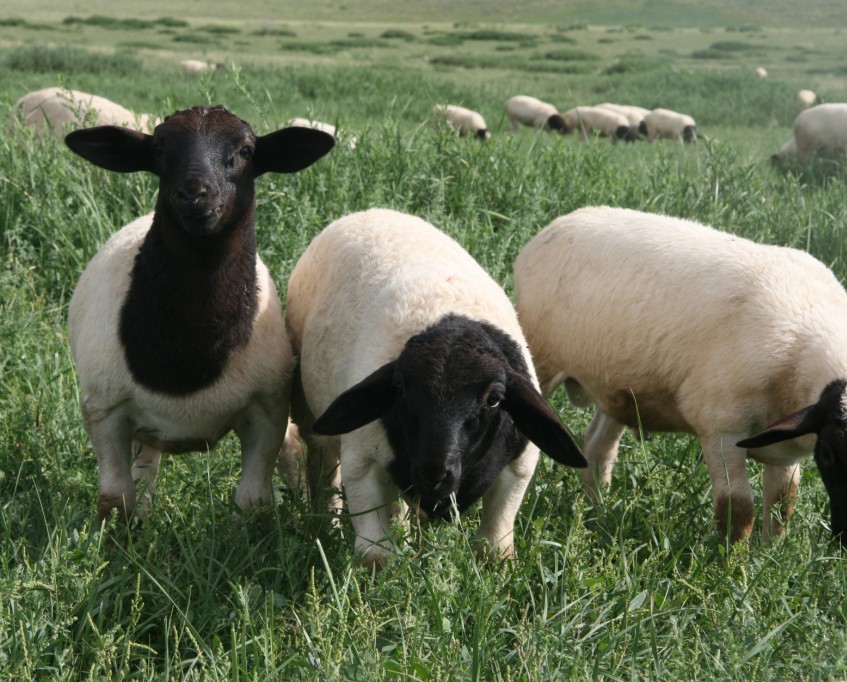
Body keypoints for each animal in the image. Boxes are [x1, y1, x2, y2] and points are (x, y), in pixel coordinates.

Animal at [64, 105, 334, 522]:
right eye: (159, 149)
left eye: (246, 150)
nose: (194, 194)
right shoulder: (105, 412)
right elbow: (116, 501)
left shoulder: (266, 411)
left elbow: (254, 501)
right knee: (146, 471)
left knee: (290, 448)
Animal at [285, 208, 586, 567]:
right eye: (400, 389)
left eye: (495, 399)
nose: (434, 473)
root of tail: (370, 211)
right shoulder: (362, 462)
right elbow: (375, 555)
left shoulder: (519, 468)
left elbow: (495, 547)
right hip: (313, 417)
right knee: (324, 466)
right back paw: (324, 523)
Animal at [514, 205, 847, 546]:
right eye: (830, 455)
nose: (843, 537)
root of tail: (562, 221)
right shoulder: (721, 428)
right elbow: (737, 510)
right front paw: (732, 557)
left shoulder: (787, 444)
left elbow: (782, 505)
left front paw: (769, 553)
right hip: (541, 358)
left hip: (617, 389)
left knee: (597, 446)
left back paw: (596, 511)